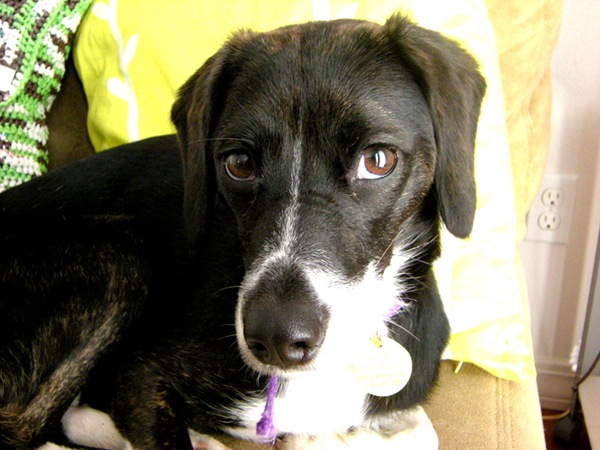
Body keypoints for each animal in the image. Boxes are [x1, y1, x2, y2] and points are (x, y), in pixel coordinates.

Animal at [0, 14, 485, 450]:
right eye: (239, 163)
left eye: (378, 160)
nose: (275, 337)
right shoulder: (137, 376)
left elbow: (420, 432)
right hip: (120, 255)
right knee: (31, 425)